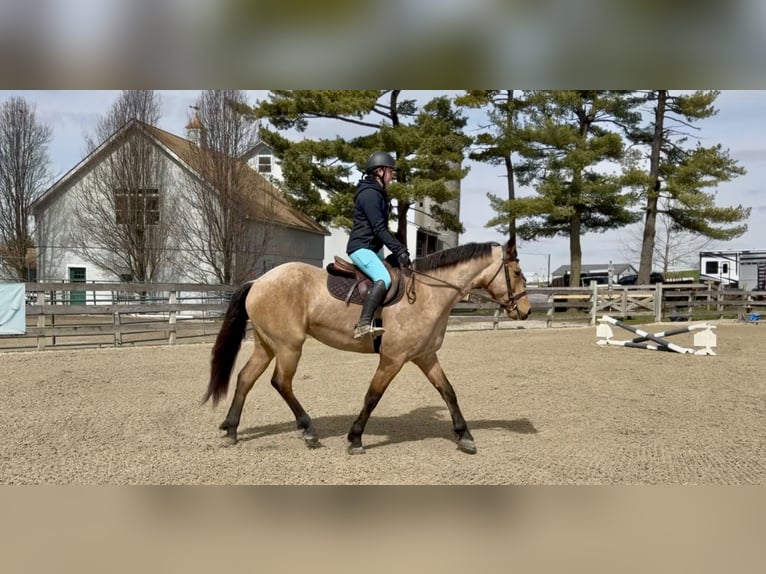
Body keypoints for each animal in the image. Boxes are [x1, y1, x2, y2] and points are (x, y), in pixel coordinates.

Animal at [203, 240, 531, 454]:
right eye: (517, 273)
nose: (526, 311)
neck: (428, 294)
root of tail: (259, 281)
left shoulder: (425, 356)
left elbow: (448, 392)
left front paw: (464, 436)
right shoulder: (392, 359)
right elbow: (373, 396)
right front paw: (355, 438)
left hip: (267, 345)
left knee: (246, 378)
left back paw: (231, 429)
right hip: (289, 346)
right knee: (281, 382)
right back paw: (308, 430)